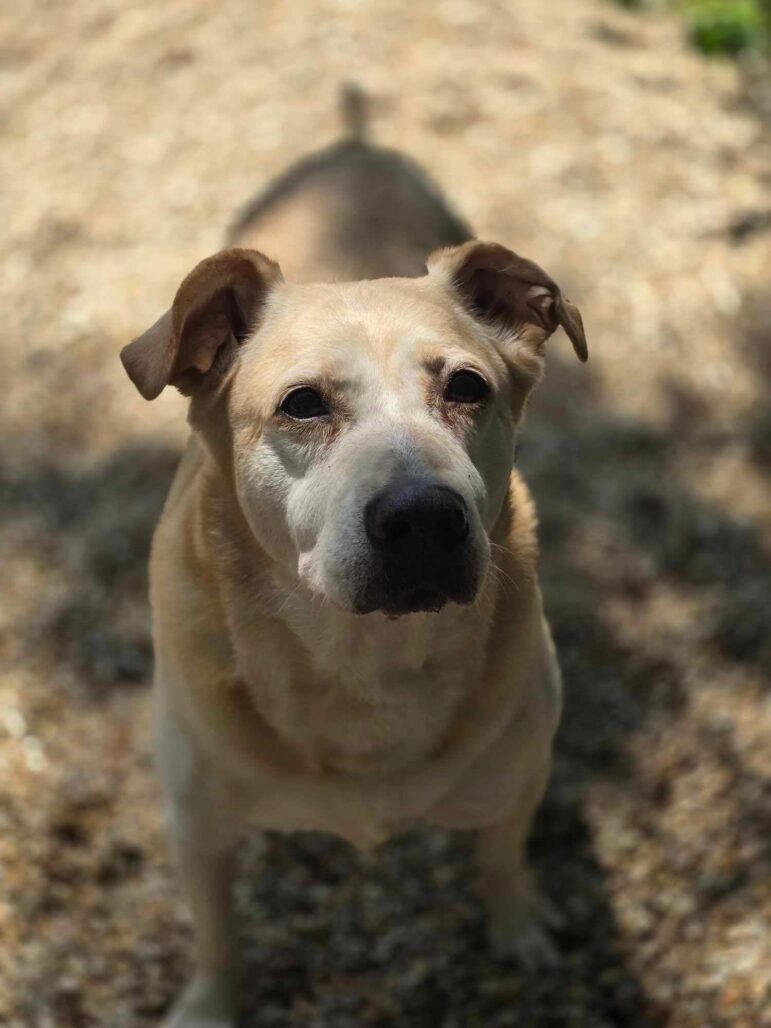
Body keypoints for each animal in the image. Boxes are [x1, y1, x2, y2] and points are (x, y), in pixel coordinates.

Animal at [123, 92, 588, 1023]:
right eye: (302, 404)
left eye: (467, 388)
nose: (423, 520)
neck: (364, 661)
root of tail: (354, 143)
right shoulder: (196, 827)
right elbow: (217, 933)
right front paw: (210, 1003)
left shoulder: (516, 783)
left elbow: (501, 857)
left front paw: (516, 927)